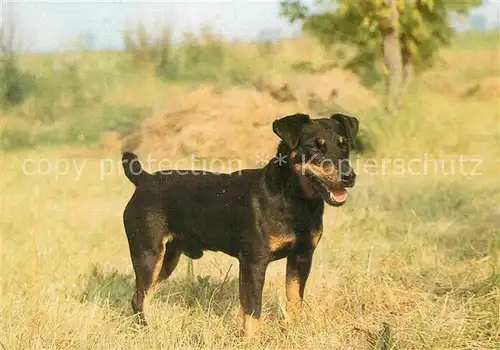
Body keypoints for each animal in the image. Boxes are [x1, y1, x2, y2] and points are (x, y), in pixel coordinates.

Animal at [120, 113, 358, 334]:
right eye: (313, 147)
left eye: (344, 145)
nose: (349, 176)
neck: (294, 199)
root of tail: (144, 179)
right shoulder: (254, 262)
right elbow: (253, 310)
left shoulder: (301, 257)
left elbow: (294, 301)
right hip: (148, 255)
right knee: (138, 299)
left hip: (167, 259)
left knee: (145, 296)